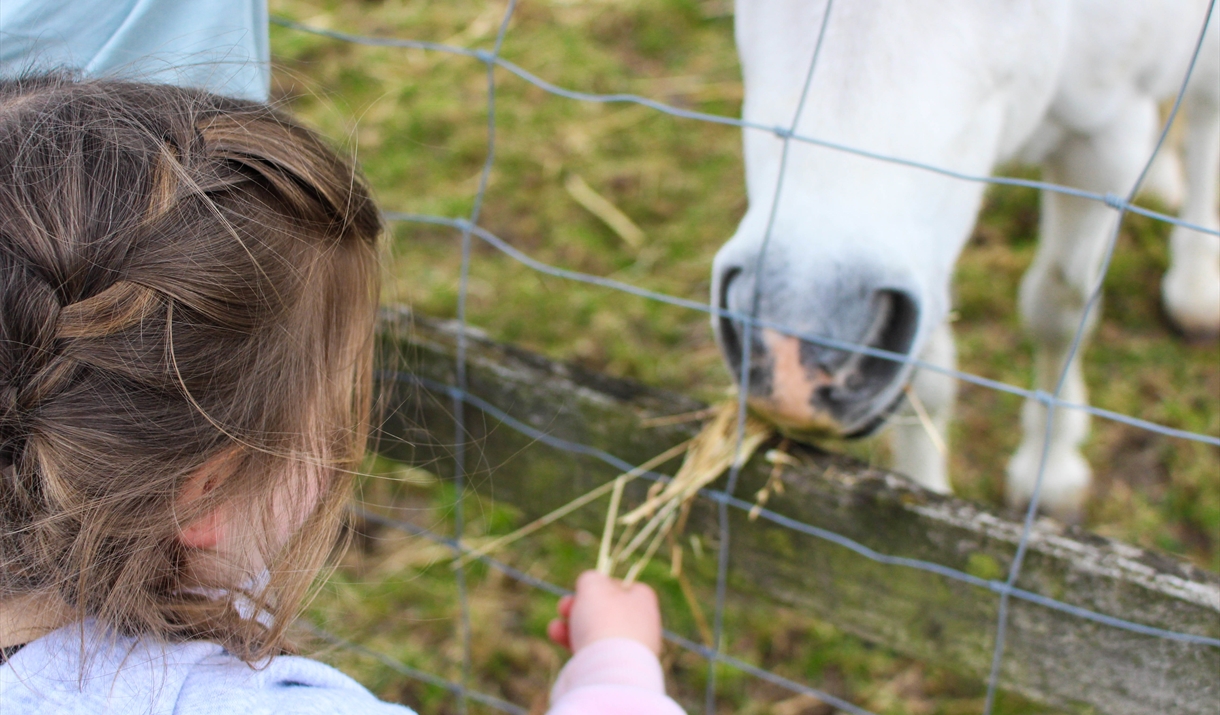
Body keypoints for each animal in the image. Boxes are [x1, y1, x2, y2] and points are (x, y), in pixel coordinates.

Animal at [712, 0, 1220, 514]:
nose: (791, 362)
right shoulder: (926, 254)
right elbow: (930, 376)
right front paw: (922, 491)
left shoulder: (1100, 148)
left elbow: (1058, 310)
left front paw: (1050, 471)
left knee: (1205, 111)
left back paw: (1197, 288)